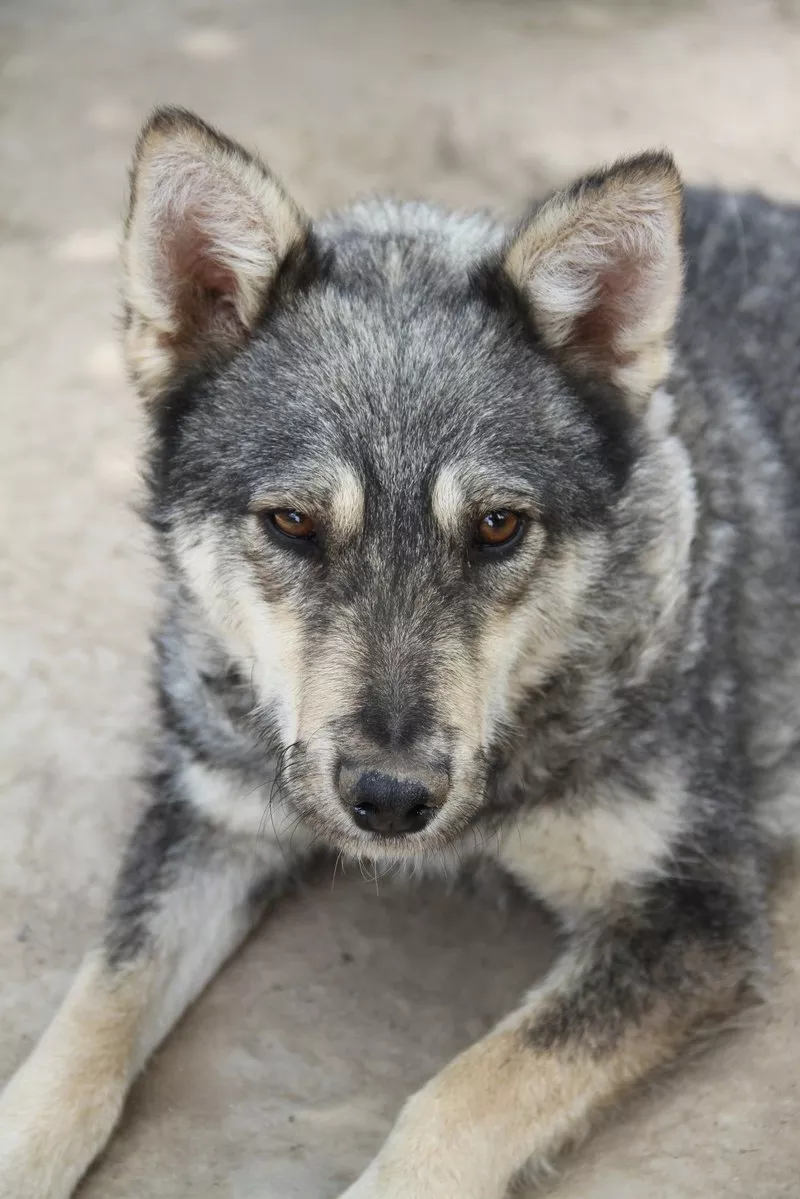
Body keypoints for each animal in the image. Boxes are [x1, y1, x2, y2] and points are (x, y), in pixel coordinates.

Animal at [1, 105, 800, 1199]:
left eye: (498, 527)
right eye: (292, 522)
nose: (389, 801)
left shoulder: (691, 912)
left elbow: (463, 1093)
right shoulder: (213, 816)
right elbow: (91, 1012)